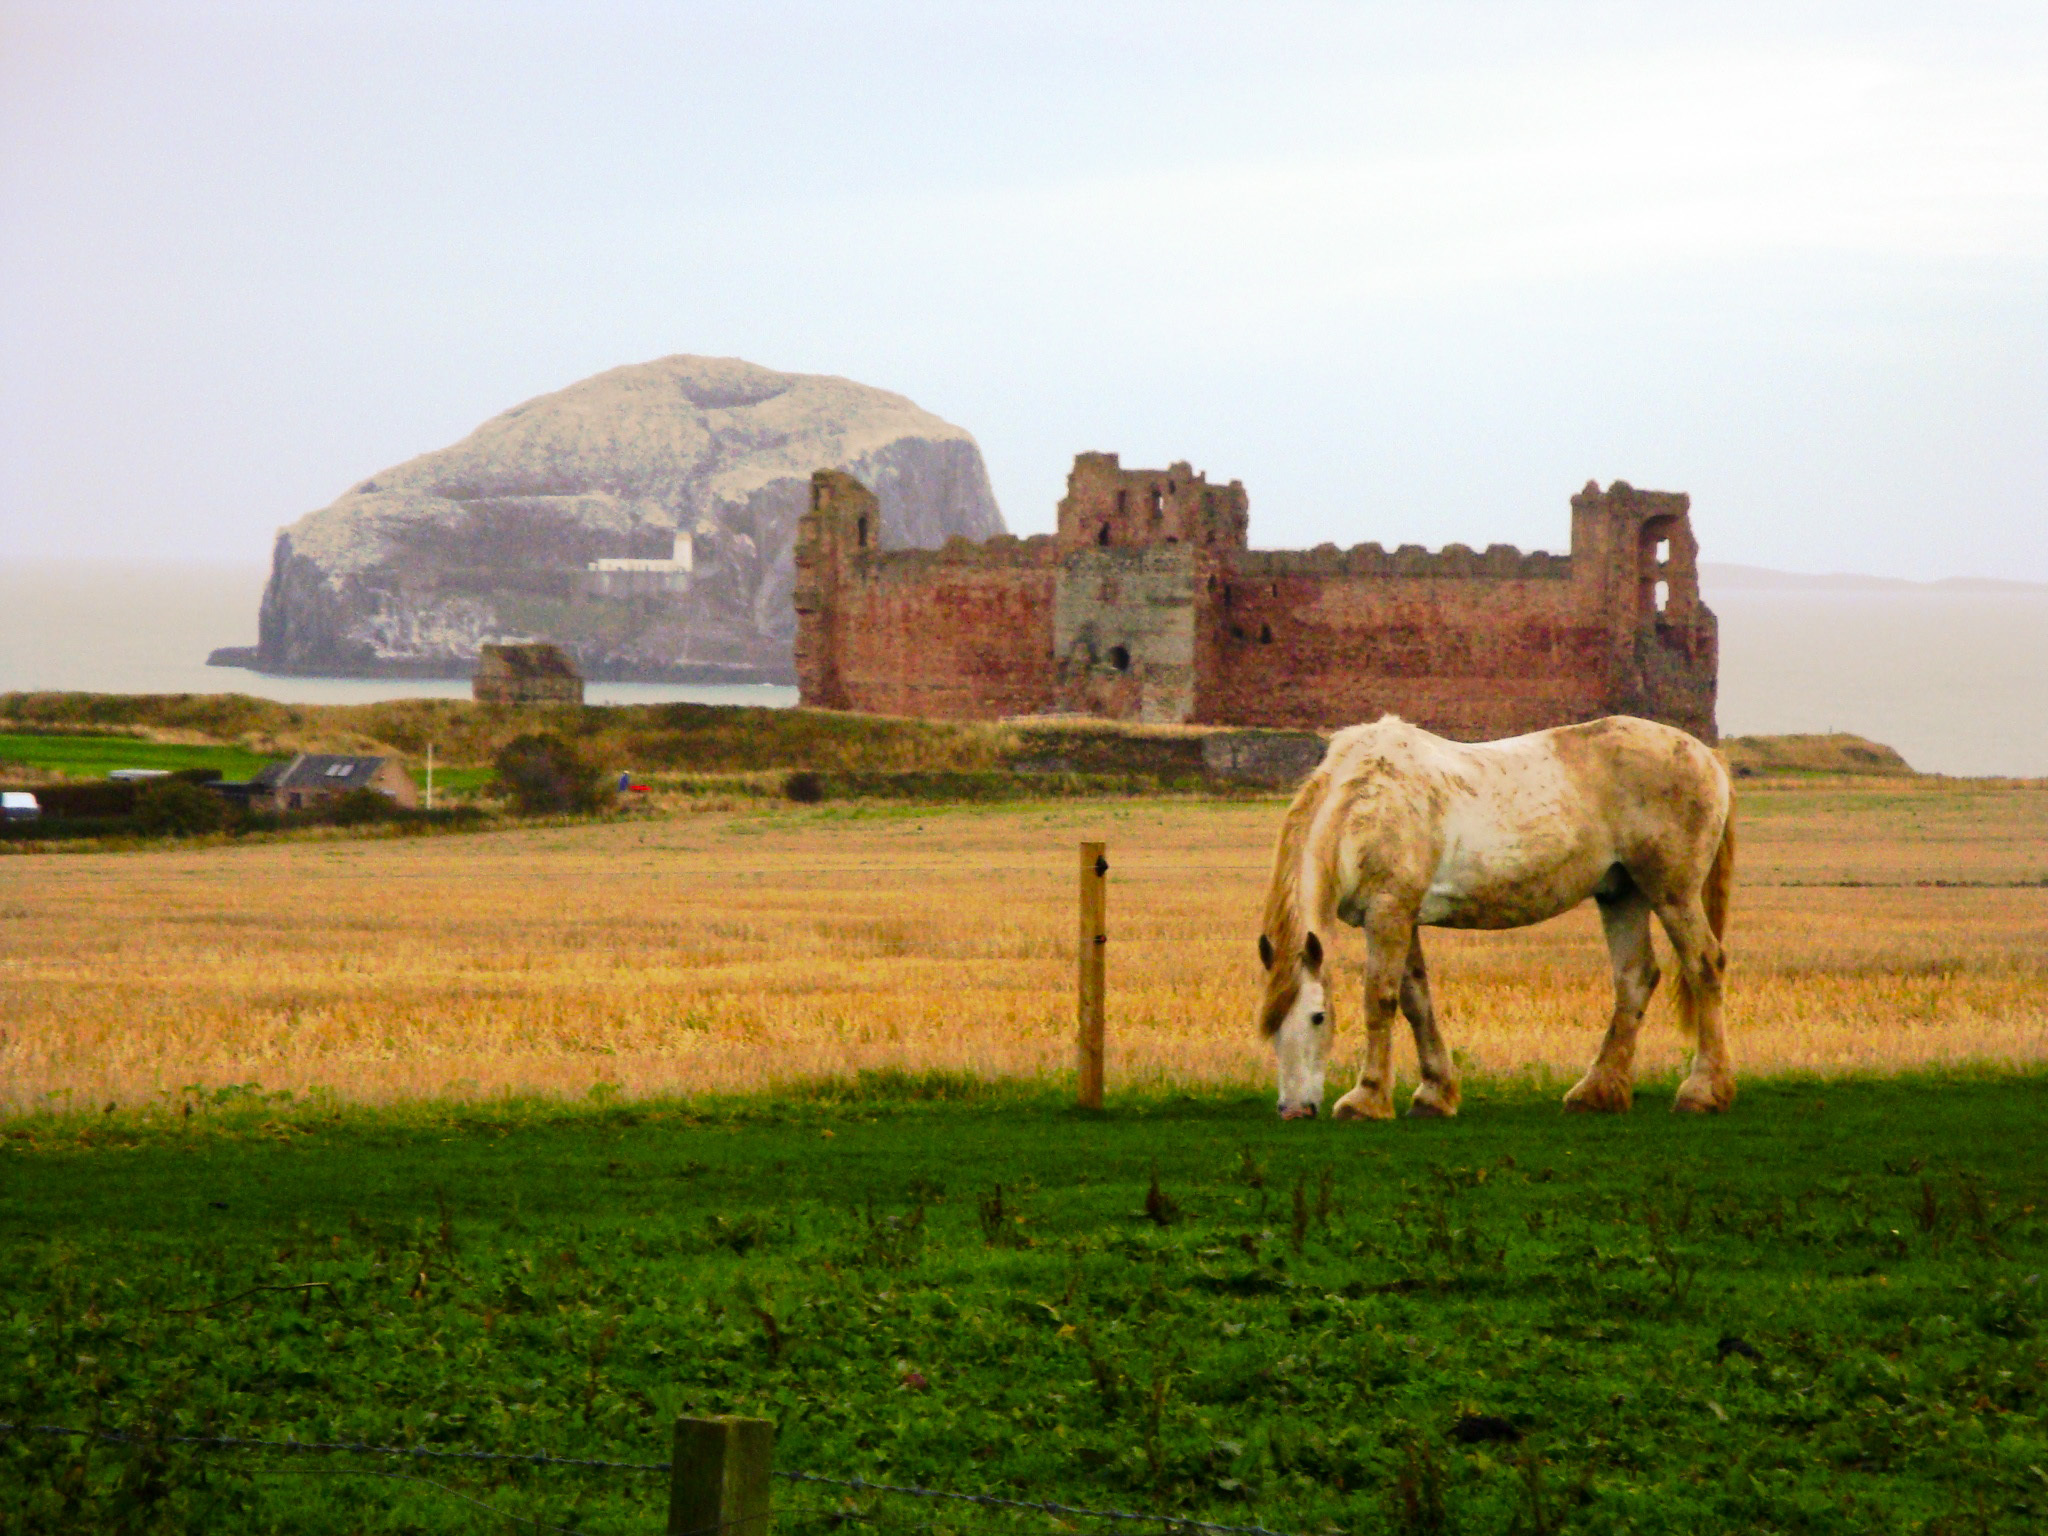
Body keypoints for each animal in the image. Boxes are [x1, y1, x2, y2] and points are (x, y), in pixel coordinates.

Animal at [1253, 716, 1736, 1122]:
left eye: (1318, 1017)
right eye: (1271, 1027)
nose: (1293, 1110)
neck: (1367, 800)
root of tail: (1708, 756)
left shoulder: (1389, 913)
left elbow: (1380, 1001)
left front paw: (1366, 1099)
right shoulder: (1403, 918)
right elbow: (1416, 1001)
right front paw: (1435, 1094)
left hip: (1673, 894)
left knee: (1704, 967)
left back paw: (1702, 1091)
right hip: (1622, 894)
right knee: (1635, 978)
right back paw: (1596, 1092)